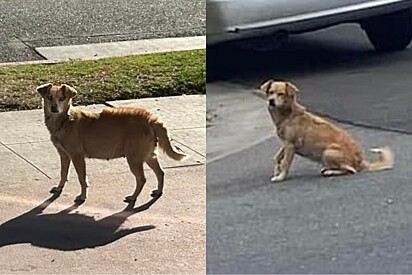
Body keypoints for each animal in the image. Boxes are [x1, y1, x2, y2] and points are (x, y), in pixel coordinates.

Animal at [37, 83, 186, 203]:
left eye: (62, 98)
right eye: (49, 97)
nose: (54, 108)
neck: (64, 120)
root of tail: (150, 119)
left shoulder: (77, 156)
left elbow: (82, 178)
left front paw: (82, 196)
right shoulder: (64, 155)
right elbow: (63, 173)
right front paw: (59, 188)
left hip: (134, 158)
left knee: (142, 179)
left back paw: (133, 197)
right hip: (148, 155)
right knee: (160, 172)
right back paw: (158, 191)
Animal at [256, 80, 394, 183]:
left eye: (281, 94)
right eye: (270, 92)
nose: (271, 101)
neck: (287, 115)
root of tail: (360, 161)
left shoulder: (290, 145)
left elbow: (285, 163)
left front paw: (280, 177)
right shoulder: (285, 144)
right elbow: (277, 158)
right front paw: (276, 171)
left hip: (328, 152)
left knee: (351, 170)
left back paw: (330, 171)